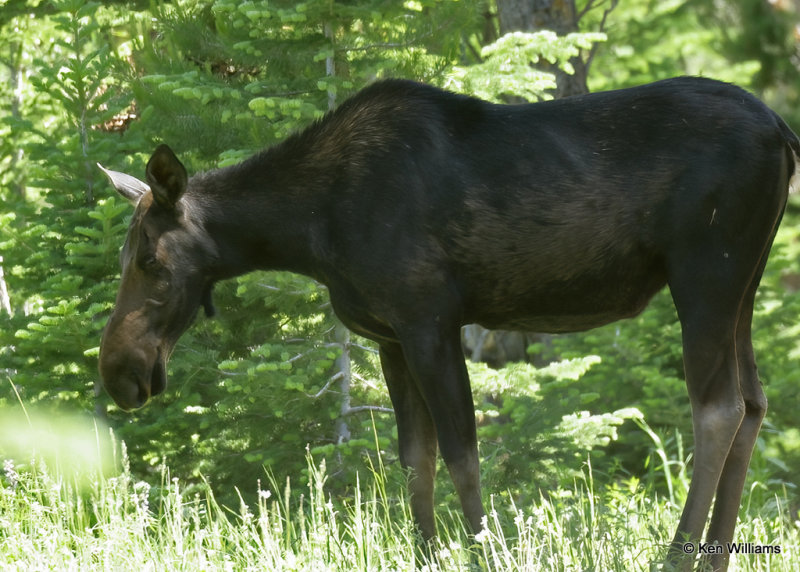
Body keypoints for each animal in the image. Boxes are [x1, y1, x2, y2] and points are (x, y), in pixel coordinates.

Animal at [97, 77, 796, 572]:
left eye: (152, 263)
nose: (119, 371)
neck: (312, 230)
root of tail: (784, 133)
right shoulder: (389, 335)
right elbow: (416, 457)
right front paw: (425, 553)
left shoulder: (429, 319)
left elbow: (462, 452)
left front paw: (483, 551)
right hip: (744, 282)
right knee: (756, 402)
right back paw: (716, 555)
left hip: (705, 272)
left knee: (718, 408)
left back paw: (678, 556)